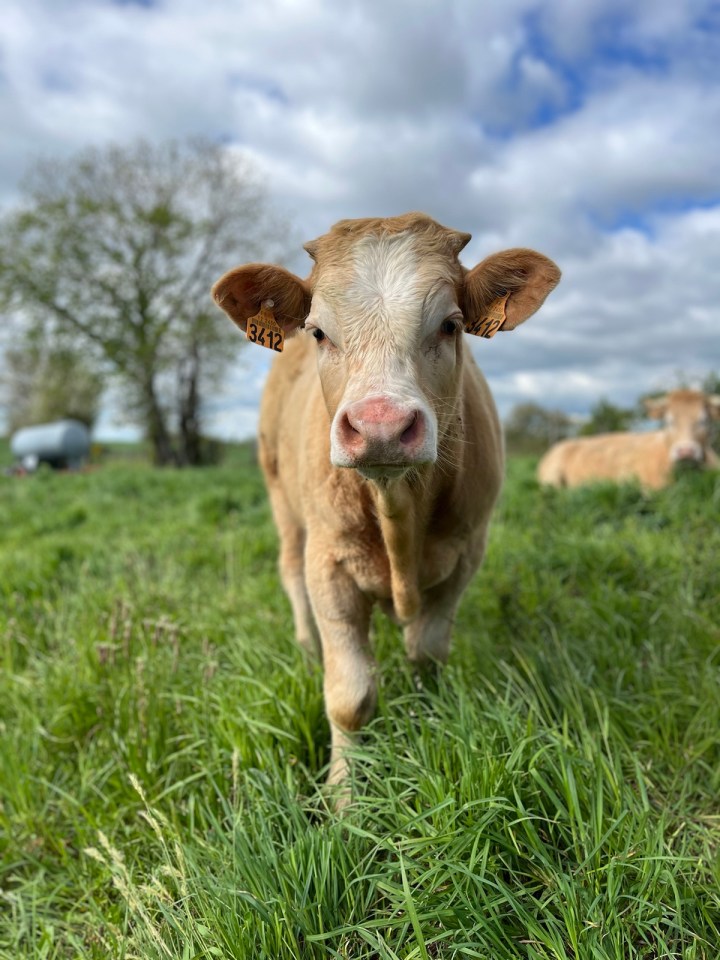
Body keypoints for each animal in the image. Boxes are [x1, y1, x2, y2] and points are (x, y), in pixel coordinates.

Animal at [213, 212, 561, 798]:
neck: (400, 512)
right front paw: (343, 798)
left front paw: (427, 721)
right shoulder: (329, 562)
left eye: (451, 325)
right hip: (282, 501)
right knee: (289, 571)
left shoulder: (465, 554)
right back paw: (307, 647)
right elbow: (349, 698)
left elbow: (427, 655)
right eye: (318, 331)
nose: (380, 426)